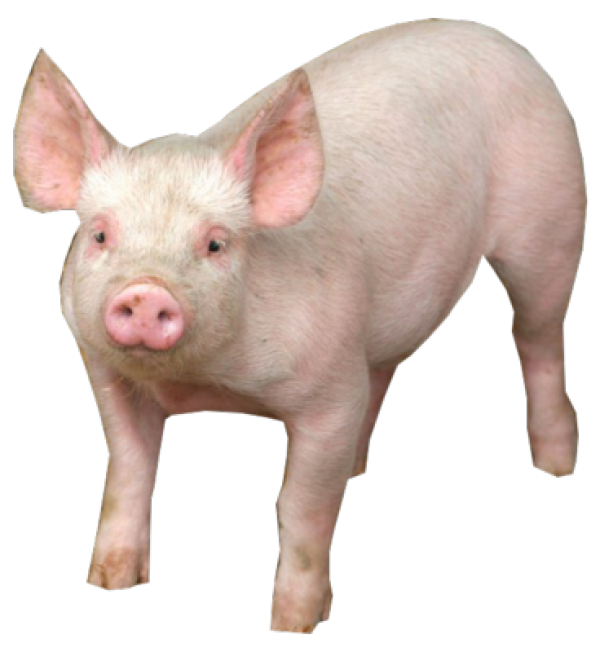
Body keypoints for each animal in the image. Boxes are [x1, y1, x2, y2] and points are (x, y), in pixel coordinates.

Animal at [14, 18, 585, 634]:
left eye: (216, 243)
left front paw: (294, 623)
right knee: (382, 372)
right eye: (100, 234)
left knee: (537, 339)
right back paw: (357, 469)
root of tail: (494, 36)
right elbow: (129, 470)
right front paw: (110, 582)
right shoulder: (108, 373)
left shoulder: (327, 395)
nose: (145, 292)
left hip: (550, 222)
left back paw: (555, 466)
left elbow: (300, 506)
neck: (205, 384)